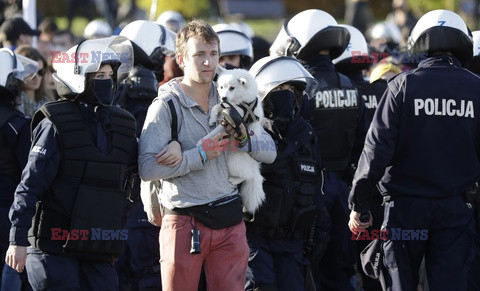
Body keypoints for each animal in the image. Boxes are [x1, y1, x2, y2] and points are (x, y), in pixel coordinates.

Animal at [211, 68, 266, 214]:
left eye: (232, 88)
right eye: (221, 87)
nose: (224, 97)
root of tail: (255, 169)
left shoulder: (238, 112)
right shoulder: (225, 104)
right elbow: (217, 107)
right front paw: (212, 117)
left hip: (233, 163)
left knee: (247, 176)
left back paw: (233, 181)